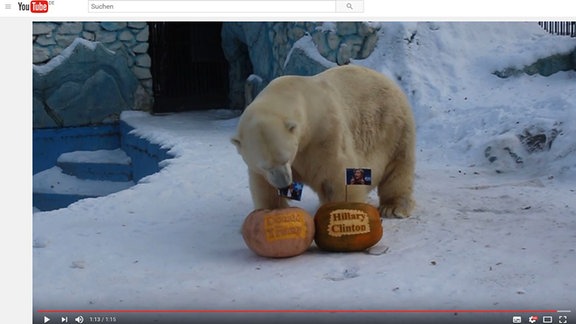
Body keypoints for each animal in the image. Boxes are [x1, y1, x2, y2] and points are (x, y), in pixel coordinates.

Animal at [232, 64, 416, 218]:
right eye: (265, 166)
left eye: (285, 158)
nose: (284, 184)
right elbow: (264, 185)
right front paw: (272, 211)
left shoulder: (324, 134)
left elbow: (337, 176)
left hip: (393, 126)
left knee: (398, 166)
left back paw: (393, 207)